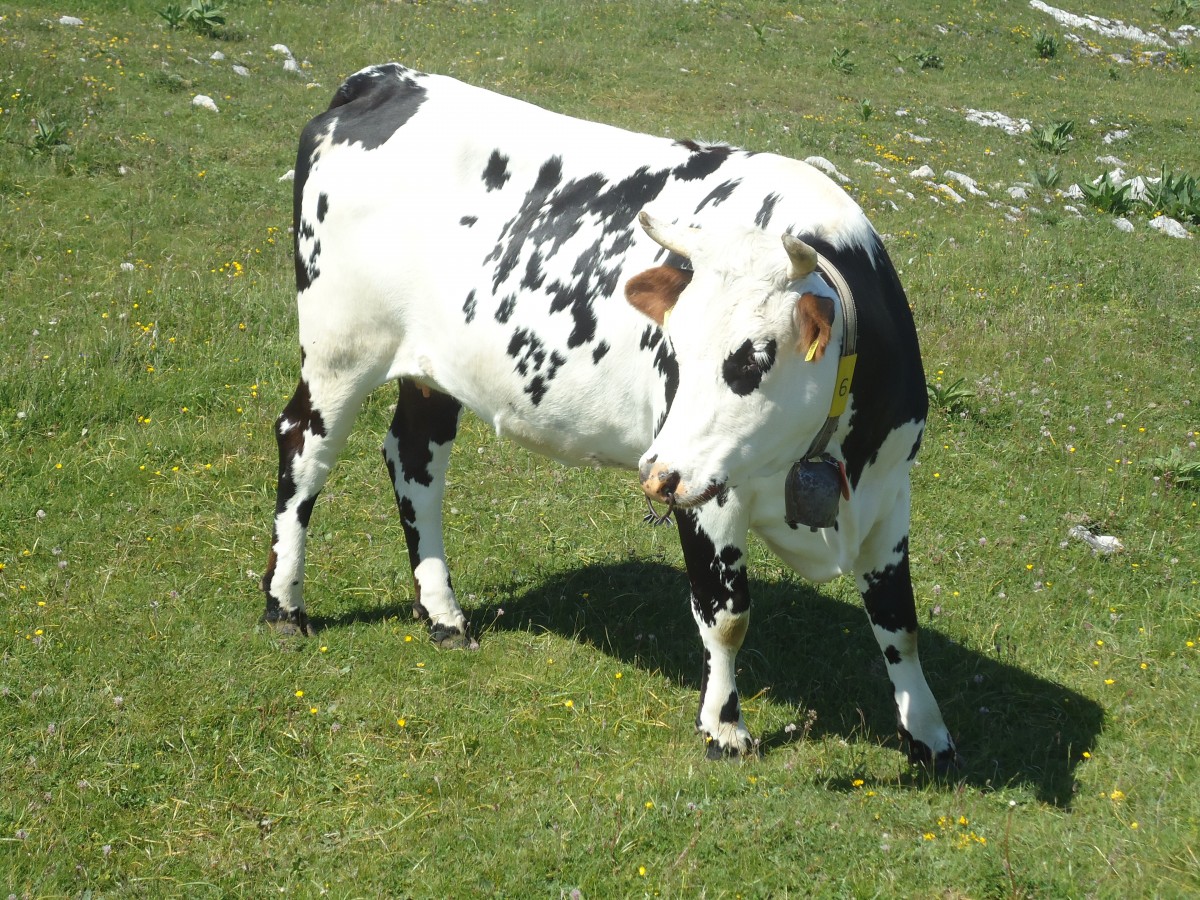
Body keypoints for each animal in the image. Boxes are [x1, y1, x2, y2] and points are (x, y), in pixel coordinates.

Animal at [261, 63, 957, 769]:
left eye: (754, 357)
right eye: (674, 347)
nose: (657, 472)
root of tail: (387, 80)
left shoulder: (890, 489)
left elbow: (900, 620)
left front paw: (928, 733)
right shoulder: (709, 494)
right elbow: (727, 614)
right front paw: (724, 727)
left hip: (431, 369)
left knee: (413, 457)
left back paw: (444, 615)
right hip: (341, 348)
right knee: (303, 447)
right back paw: (285, 607)